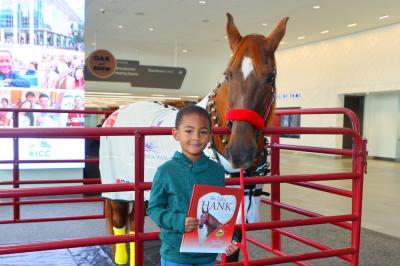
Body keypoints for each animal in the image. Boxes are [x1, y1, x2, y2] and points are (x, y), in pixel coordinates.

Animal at [100, 12, 288, 264]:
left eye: (270, 77)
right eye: (227, 74)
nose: (240, 151)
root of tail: (116, 113)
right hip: (118, 190)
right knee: (120, 226)